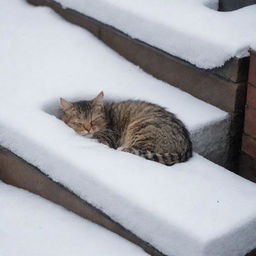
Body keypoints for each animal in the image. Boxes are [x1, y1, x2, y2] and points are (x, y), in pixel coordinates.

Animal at [60, 92, 192, 166]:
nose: (88, 129)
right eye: (79, 123)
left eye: (94, 120)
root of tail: (187, 145)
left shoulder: (106, 139)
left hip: (143, 128)